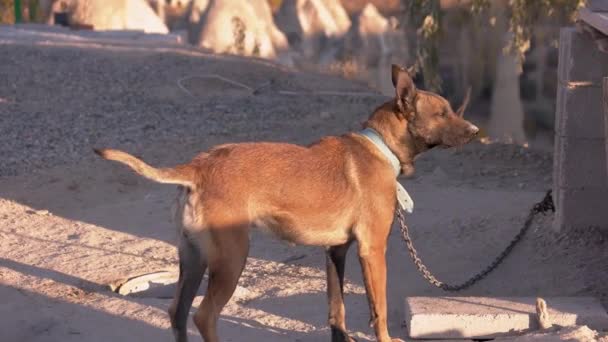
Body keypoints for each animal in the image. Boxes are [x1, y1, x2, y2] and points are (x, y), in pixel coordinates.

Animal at [95, 65, 480, 342]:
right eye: (443, 113)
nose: (476, 132)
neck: (379, 146)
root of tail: (199, 166)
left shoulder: (336, 251)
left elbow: (336, 308)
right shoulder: (372, 250)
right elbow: (379, 308)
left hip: (193, 259)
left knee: (177, 311)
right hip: (231, 258)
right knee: (203, 316)